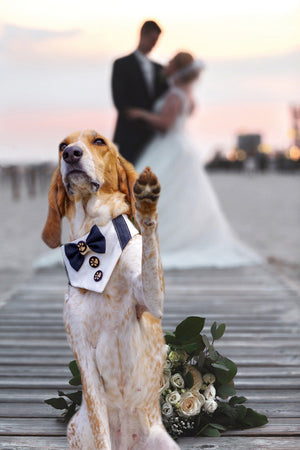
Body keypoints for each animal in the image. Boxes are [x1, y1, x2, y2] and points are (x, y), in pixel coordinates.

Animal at [41, 130, 178, 450]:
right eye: (62, 145)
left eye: (99, 141)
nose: (71, 154)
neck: (92, 245)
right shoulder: (83, 355)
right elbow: (100, 425)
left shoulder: (152, 299)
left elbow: (150, 245)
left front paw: (146, 202)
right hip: (77, 430)